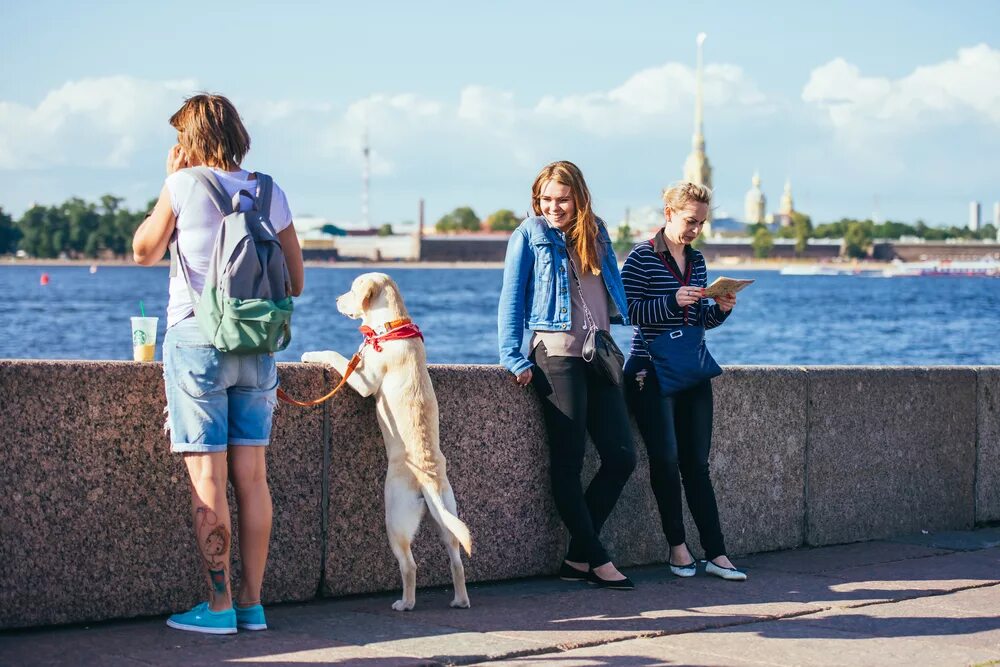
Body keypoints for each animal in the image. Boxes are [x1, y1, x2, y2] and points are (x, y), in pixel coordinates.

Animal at [300, 272, 472, 612]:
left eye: (352, 290)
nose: (336, 300)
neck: (390, 328)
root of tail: (428, 479)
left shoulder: (363, 380)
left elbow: (334, 355)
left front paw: (310, 354)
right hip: (447, 518)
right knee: (456, 561)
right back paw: (460, 600)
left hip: (395, 519)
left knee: (410, 565)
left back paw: (406, 603)